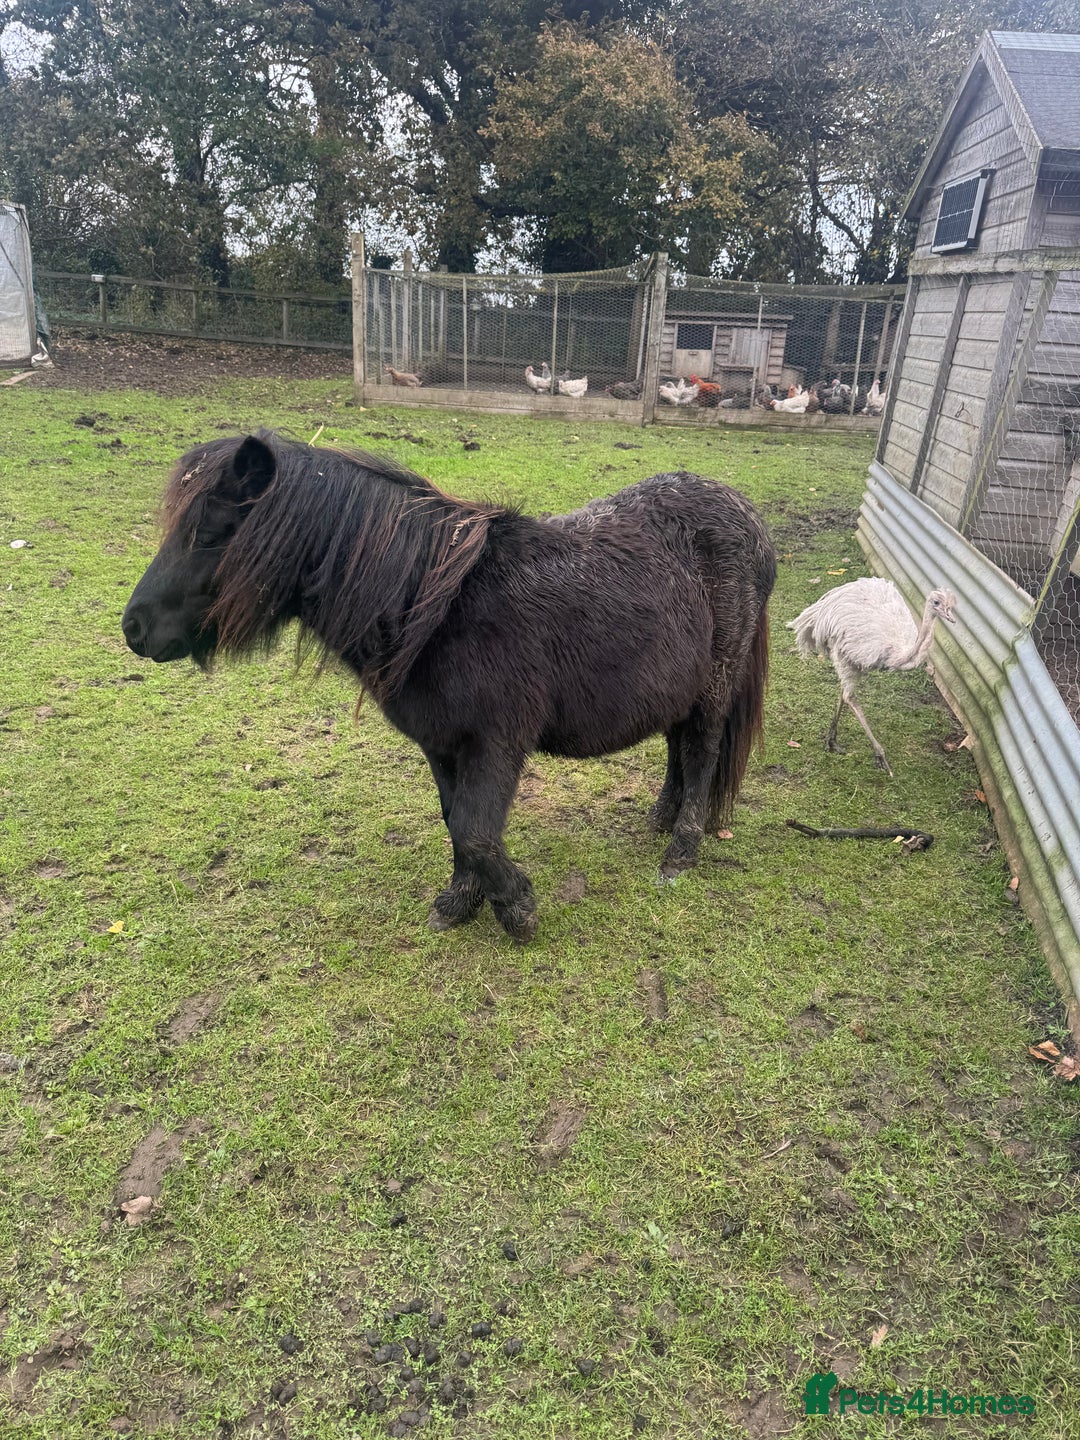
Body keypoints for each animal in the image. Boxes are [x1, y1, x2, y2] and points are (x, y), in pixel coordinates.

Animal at [122, 432, 776, 941]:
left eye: (212, 531)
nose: (134, 628)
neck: (436, 609)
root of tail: (749, 519)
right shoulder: (440, 743)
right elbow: (452, 818)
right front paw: (462, 900)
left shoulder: (497, 743)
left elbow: (476, 829)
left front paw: (516, 908)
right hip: (677, 685)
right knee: (677, 746)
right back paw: (662, 817)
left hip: (716, 684)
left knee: (702, 753)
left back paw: (681, 849)